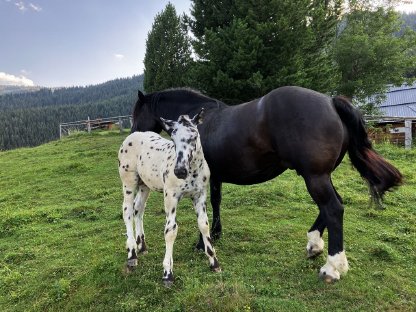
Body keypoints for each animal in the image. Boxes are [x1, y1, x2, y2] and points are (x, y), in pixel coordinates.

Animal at [118, 109, 219, 286]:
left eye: (194, 136)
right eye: (173, 138)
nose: (179, 171)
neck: (192, 172)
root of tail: (132, 136)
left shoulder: (200, 196)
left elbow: (204, 225)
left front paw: (214, 262)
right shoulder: (170, 197)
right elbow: (171, 230)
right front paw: (167, 273)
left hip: (145, 185)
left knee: (138, 209)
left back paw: (141, 246)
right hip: (129, 182)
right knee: (127, 211)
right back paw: (132, 254)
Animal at [131, 86, 404, 282]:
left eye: (136, 113)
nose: (133, 135)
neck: (198, 119)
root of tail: (330, 102)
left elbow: (205, 212)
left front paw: (203, 243)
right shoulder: (215, 177)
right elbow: (216, 203)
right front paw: (216, 234)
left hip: (315, 177)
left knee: (333, 209)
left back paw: (332, 267)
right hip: (320, 175)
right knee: (331, 206)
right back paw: (314, 244)